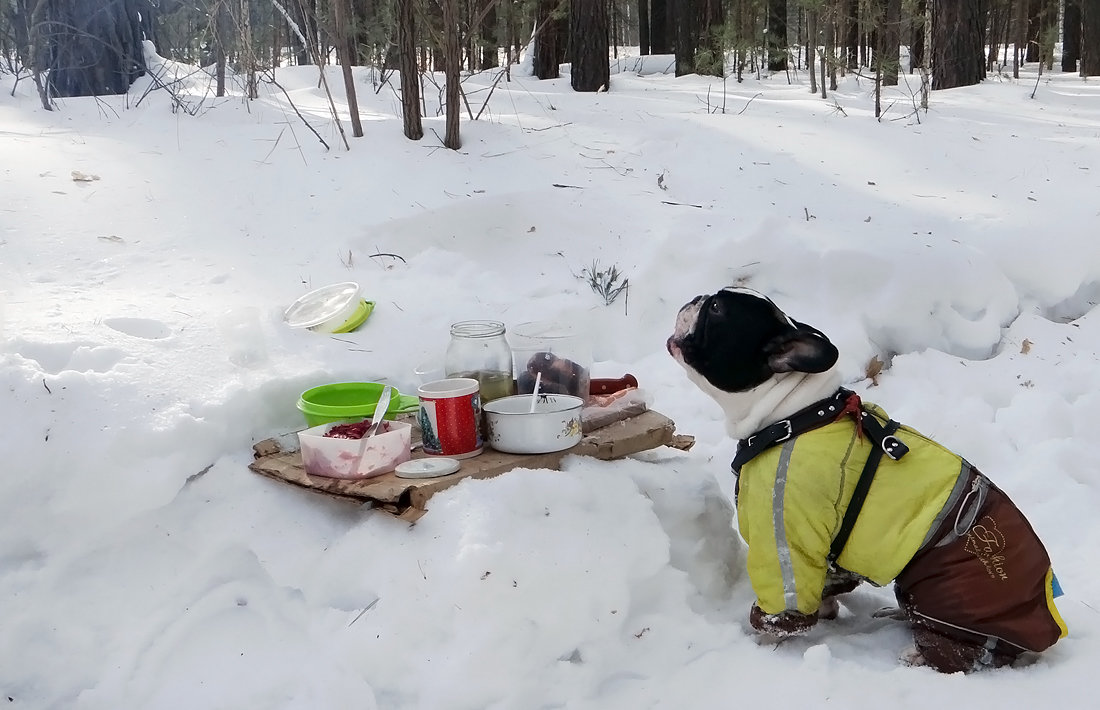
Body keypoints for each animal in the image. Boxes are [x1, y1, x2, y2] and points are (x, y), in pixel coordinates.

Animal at [664, 286, 1060, 669]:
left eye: (716, 309)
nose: (696, 298)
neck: (792, 415)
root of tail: (1047, 629)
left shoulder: (782, 535)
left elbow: (781, 612)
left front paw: (764, 638)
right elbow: (825, 586)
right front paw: (825, 610)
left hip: (940, 592)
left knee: (966, 655)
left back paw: (920, 654)